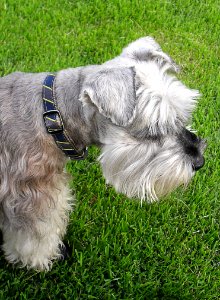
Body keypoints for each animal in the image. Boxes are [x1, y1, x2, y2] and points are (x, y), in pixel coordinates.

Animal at [0, 37, 206, 270]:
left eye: (181, 115)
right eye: (152, 131)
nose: (199, 161)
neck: (53, 118)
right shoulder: (31, 197)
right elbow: (35, 237)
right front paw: (40, 259)